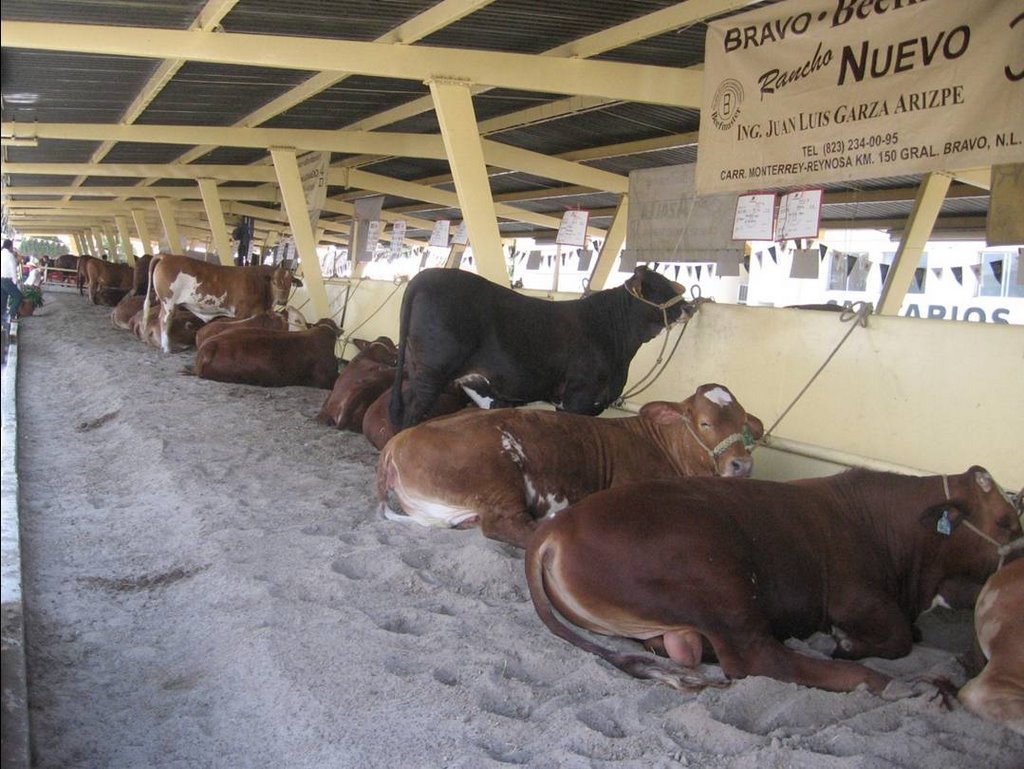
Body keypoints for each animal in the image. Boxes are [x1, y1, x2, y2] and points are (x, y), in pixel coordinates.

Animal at [146, 255, 301, 354]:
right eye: (274, 282)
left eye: (290, 284)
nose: (282, 301)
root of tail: (167, 256)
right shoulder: (242, 312)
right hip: (168, 302)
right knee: (164, 321)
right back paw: (167, 348)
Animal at [380, 382, 765, 548]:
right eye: (704, 422)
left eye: (745, 422)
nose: (741, 464)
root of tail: (398, 441)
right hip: (495, 474)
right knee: (509, 526)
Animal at [524, 466, 1019, 696]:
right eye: (1005, 521)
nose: (1018, 557)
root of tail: (559, 525)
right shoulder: (858, 598)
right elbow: (898, 638)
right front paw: (847, 644)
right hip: (718, 577)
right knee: (760, 659)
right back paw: (887, 682)